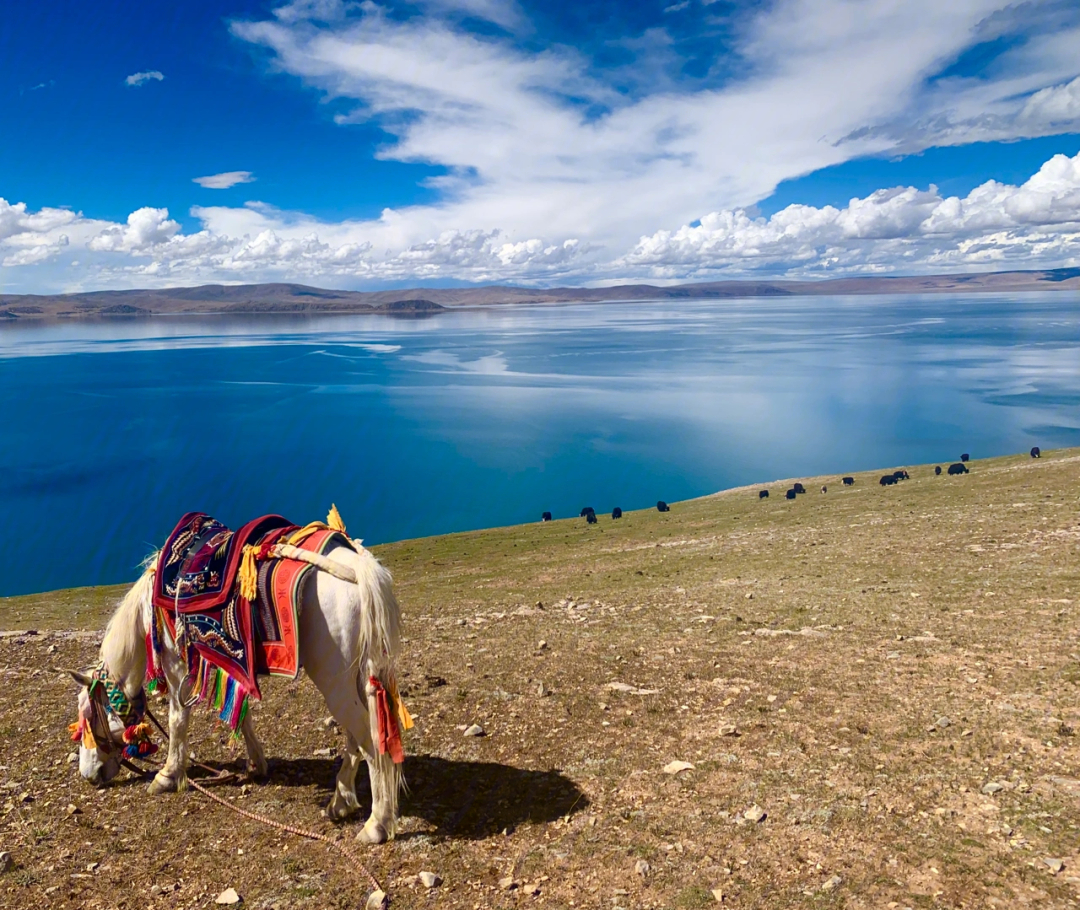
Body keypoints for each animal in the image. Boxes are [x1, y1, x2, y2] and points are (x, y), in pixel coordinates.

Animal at [67, 515, 406, 841]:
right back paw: (340, 802)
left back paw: (375, 825)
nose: (89, 776)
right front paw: (257, 764)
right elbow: (242, 715)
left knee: (370, 739)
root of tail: (359, 568)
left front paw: (166, 776)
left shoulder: (177, 666)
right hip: (355, 679)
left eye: (88, 716)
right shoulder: (232, 663)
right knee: (358, 736)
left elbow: (177, 720)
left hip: (334, 682)